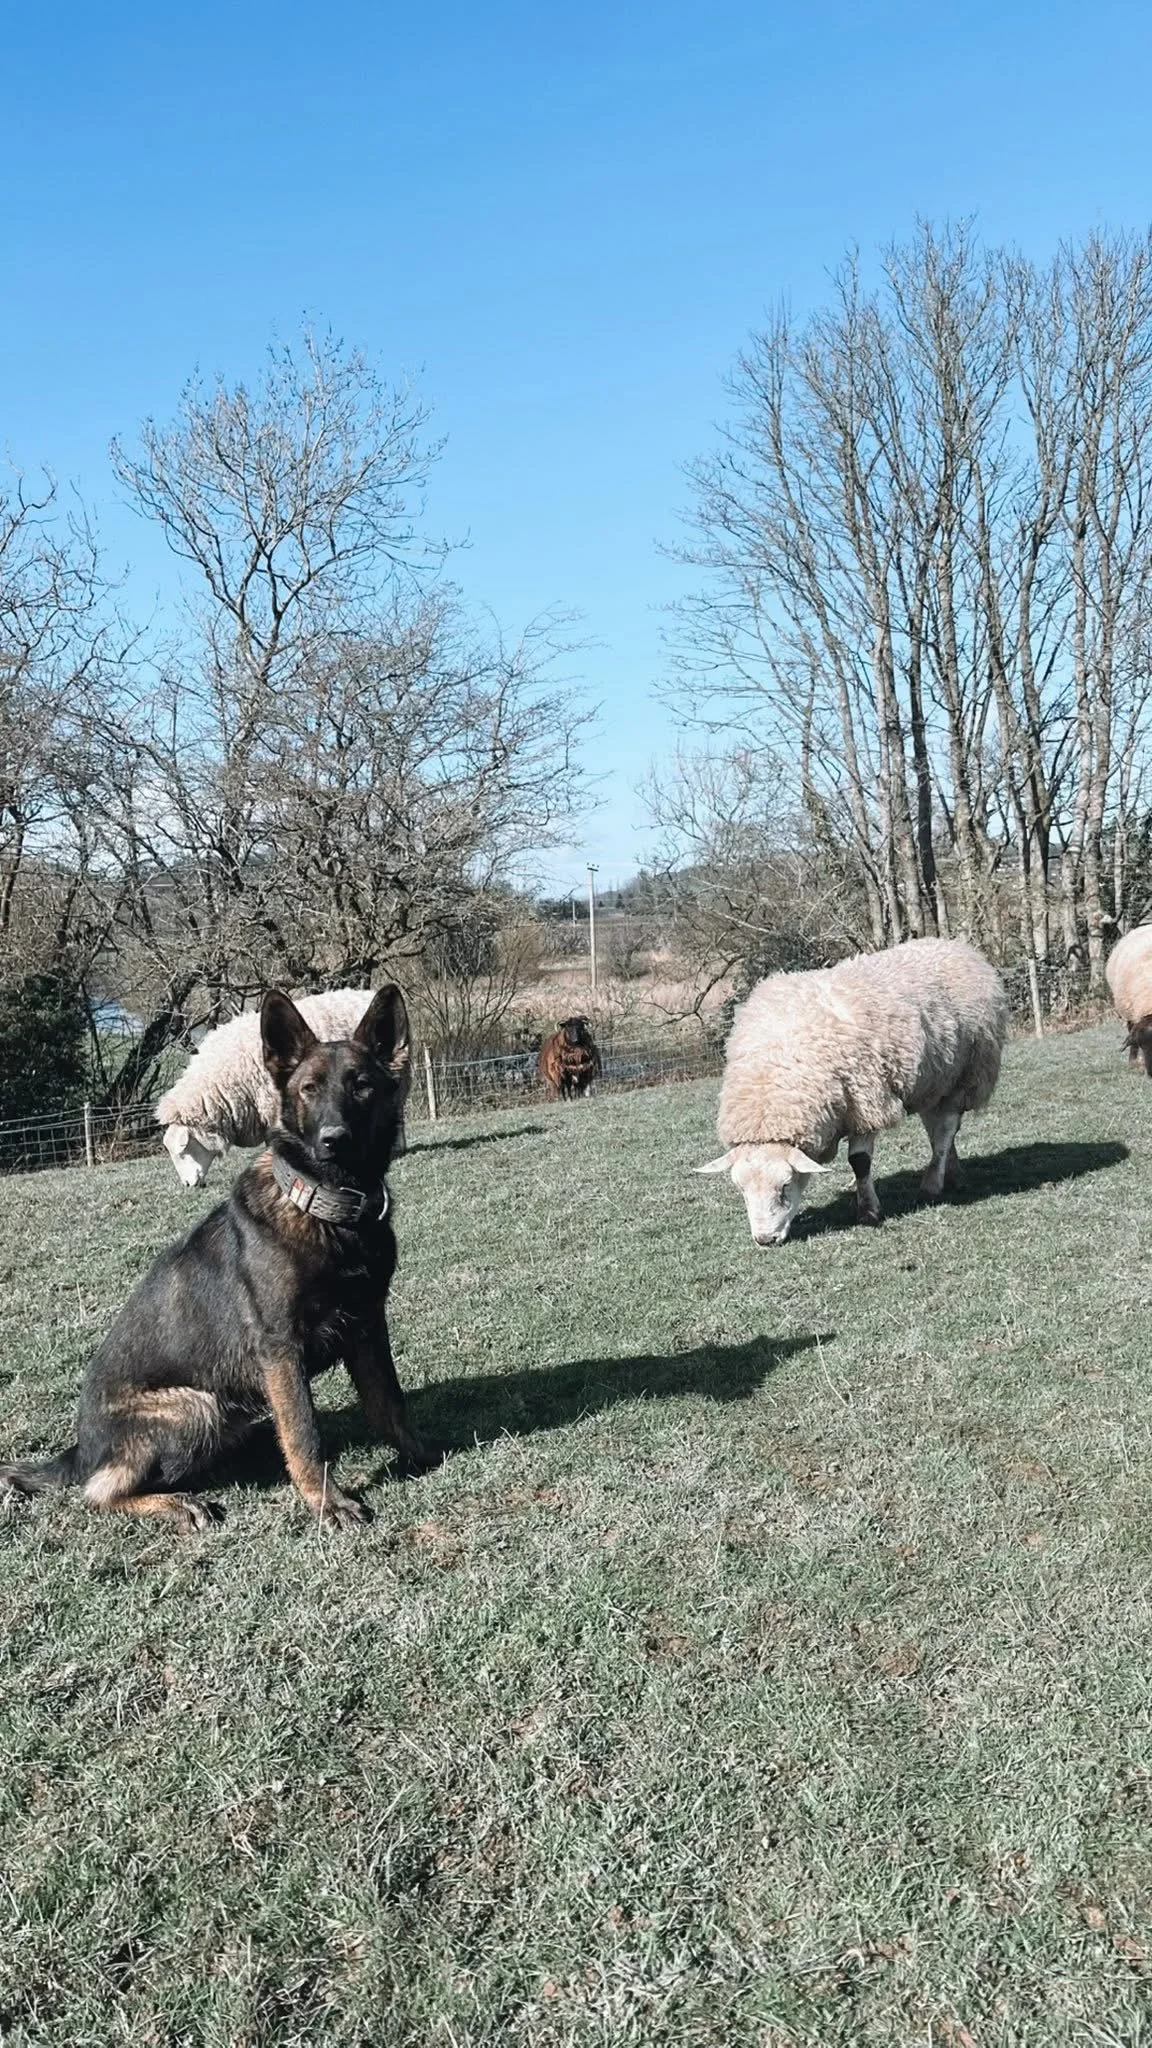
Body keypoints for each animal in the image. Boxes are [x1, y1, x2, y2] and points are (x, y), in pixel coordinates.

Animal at [696, 937, 1007, 1245]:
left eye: (785, 1185)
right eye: (740, 1189)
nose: (765, 1239)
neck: (774, 1073)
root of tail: (958, 946)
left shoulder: (866, 1104)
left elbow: (860, 1162)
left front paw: (869, 1211)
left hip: (968, 1074)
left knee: (945, 1130)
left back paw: (932, 1184)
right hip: (934, 1081)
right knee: (937, 1128)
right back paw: (952, 1174)